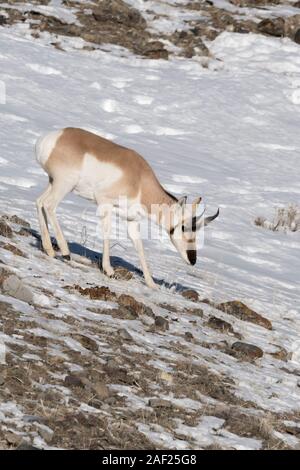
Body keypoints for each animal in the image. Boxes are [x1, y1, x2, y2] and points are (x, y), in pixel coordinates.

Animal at [35, 129, 219, 290]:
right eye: (183, 226)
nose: (193, 259)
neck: (140, 181)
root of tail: (52, 138)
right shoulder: (105, 204)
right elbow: (107, 233)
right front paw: (109, 270)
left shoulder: (132, 221)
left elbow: (139, 247)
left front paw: (151, 284)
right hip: (64, 185)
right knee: (49, 205)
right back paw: (65, 252)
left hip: (53, 182)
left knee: (39, 202)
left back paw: (49, 249)